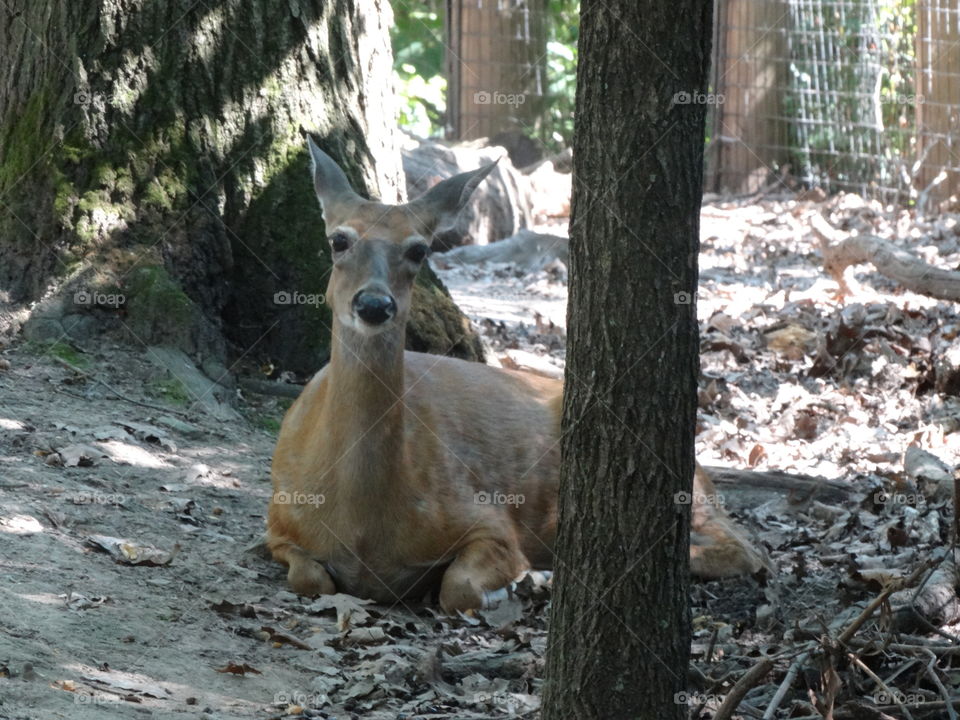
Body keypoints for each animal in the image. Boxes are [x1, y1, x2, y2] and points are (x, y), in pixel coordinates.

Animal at [266, 136, 767, 613]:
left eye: (419, 249)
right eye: (339, 239)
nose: (374, 304)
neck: (362, 528)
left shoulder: (487, 519)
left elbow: (459, 587)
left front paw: (526, 580)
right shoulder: (277, 523)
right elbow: (308, 578)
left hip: (688, 492)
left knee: (744, 549)